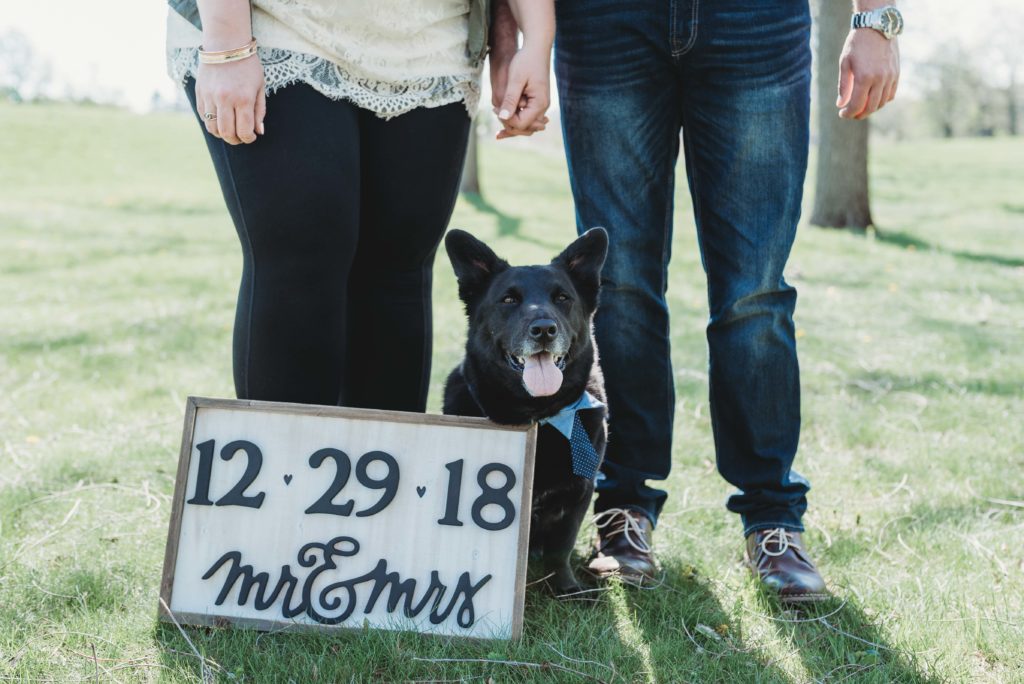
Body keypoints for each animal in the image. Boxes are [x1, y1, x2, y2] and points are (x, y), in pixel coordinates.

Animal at [442, 228, 606, 593]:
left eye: (562, 298)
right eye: (508, 300)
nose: (544, 329)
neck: (537, 414)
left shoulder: (579, 494)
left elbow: (561, 549)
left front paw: (566, 588)